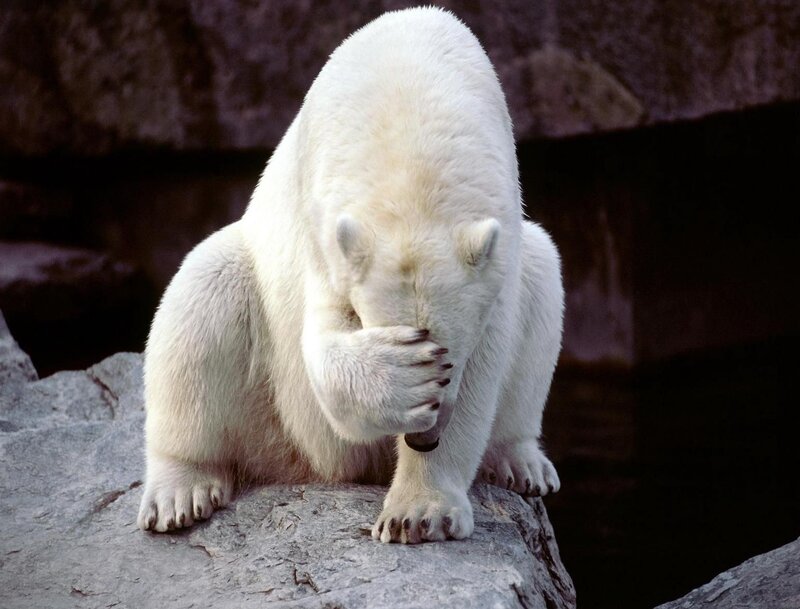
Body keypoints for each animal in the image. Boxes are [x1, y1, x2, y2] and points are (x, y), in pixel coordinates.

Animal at [137, 6, 564, 544]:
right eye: (430, 357)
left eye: (450, 360)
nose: (423, 440)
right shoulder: (323, 227)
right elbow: (322, 343)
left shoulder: (498, 244)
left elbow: (488, 362)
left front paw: (418, 513)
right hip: (269, 410)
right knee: (202, 295)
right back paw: (179, 492)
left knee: (543, 274)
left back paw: (521, 462)